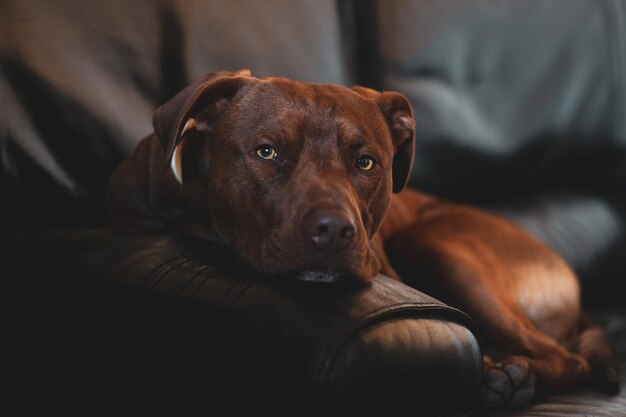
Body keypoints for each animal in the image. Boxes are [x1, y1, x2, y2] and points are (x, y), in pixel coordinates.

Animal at [105, 70, 616, 408]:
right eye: (266, 152)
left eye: (366, 162)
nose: (334, 230)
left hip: (438, 247)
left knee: (567, 358)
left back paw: (508, 378)